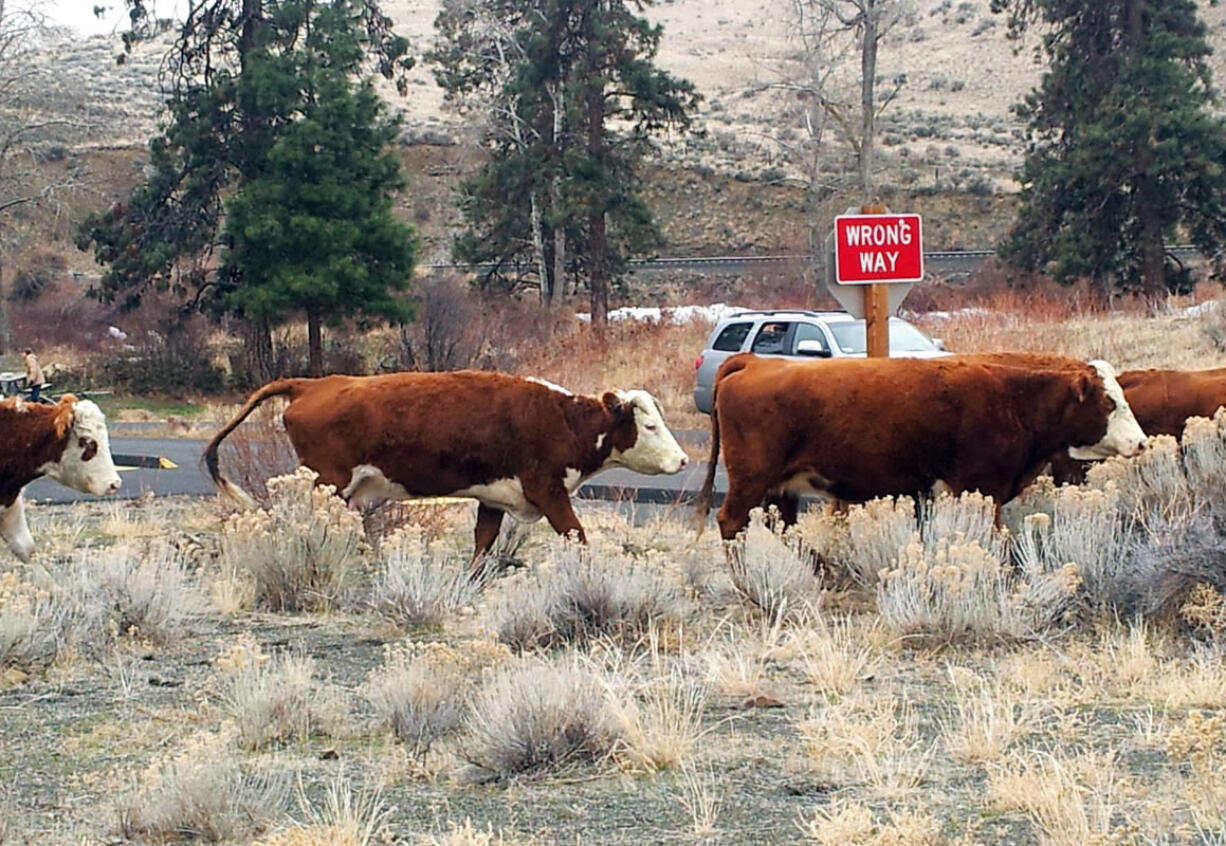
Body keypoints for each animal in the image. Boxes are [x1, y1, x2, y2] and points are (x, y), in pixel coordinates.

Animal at [202, 370, 691, 573]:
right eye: (649, 425)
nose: (683, 461)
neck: (559, 418)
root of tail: (311, 384)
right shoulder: (550, 492)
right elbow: (577, 536)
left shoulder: (494, 498)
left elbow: (482, 544)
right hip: (327, 482)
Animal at [701, 350, 1147, 537]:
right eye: (1109, 402)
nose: (1142, 443)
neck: (1012, 398)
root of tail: (754, 361)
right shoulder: (982, 490)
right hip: (750, 481)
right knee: (730, 522)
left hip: (780, 489)